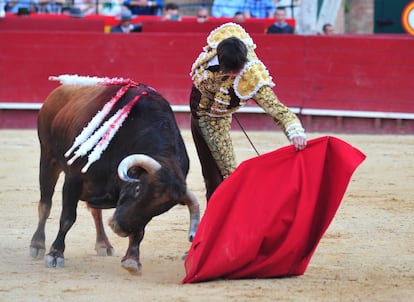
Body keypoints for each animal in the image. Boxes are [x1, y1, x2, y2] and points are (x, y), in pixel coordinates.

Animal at [28, 75, 199, 274]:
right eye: (137, 189)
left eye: (161, 209)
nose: (119, 229)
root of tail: (58, 91)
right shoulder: (74, 178)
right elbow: (67, 218)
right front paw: (55, 254)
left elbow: (139, 230)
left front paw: (132, 259)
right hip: (48, 158)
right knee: (45, 204)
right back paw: (37, 244)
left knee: (95, 211)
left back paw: (103, 243)